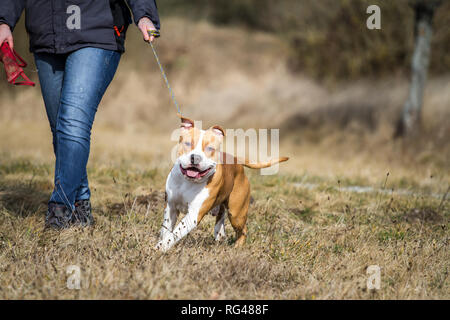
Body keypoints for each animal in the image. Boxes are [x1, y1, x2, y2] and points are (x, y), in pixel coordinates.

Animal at [155, 115, 288, 252]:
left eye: (210, 148)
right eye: (188, 144)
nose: (195, 157)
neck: (189, 181)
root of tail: (236, 160)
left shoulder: (194, 215)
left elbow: (175, 233)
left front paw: (160, 247)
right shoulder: (170, 207)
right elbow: (166, 230)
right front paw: (162, 244)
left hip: (236, 214)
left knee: (243, 230)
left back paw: (237, 247)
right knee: (220, 219)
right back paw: (220, 236)